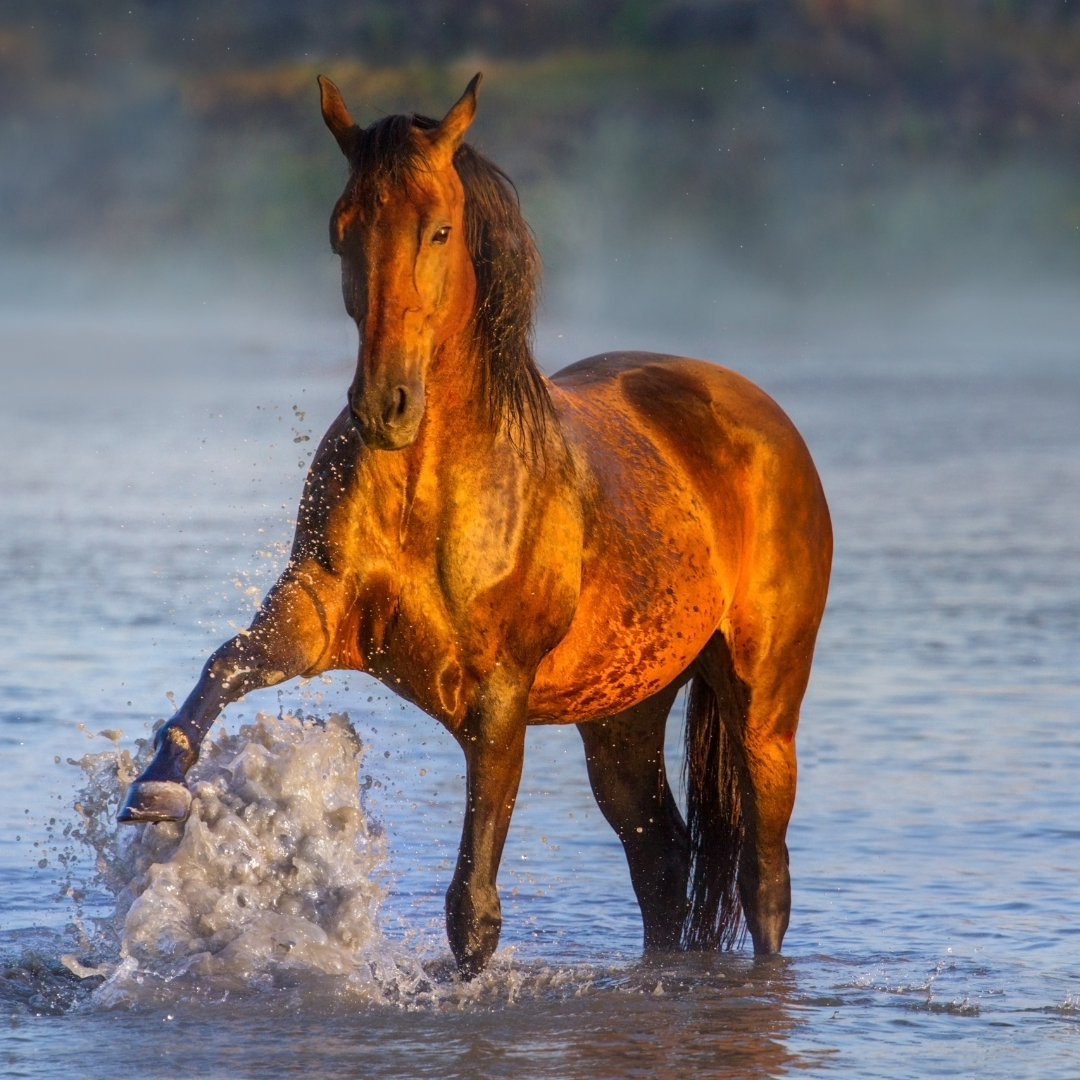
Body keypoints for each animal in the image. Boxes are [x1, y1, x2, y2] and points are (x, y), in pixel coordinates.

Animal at [119, 73, 832, 978]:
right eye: (341, 230)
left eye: (440, 229)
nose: (385, 405)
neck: (431, 490)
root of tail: (756, 412)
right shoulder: (316, 614)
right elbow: (228, 662)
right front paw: (157, 786)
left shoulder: (499, 699)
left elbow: (473, 910)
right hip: (624, 714)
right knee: (664, 861)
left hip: (762, 696)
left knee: (762, 877)